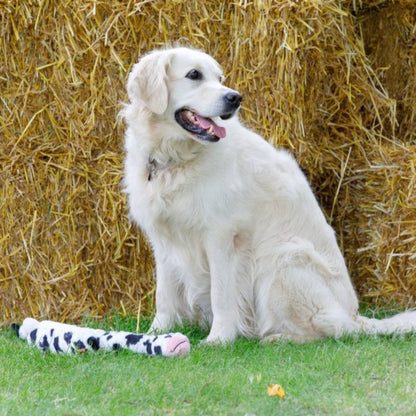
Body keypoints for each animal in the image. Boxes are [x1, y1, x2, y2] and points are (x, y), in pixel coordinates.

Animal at [122, 47, 416, 342]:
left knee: (331, 330)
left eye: (219, 78)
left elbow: (221, 294)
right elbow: (164, 295)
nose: (235, 98)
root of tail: (354, 314)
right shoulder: (163, 239)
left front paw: (219, 339)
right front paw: (156, 332)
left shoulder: (221, 235)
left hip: (282, 258)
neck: (175, 159)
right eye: (194, 74)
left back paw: (277, 338)